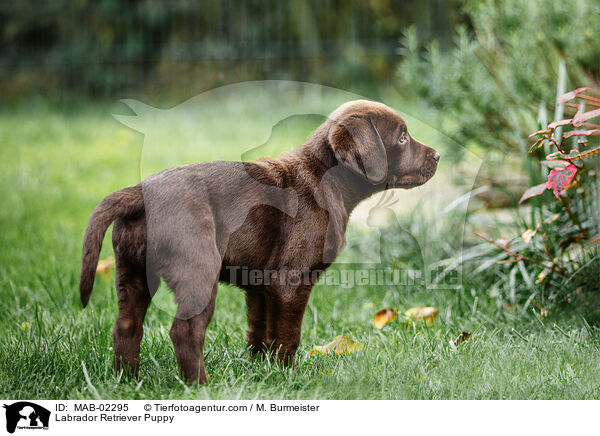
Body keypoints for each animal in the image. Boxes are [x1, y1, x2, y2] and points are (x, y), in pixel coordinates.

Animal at [79, 99, 438, 382]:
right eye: (402, 137)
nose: (437, 155)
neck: (325, 180)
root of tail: (140, 191)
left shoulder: (260, 285)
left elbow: (260, 332)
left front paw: (261, 372)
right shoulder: (291, 281)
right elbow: (288, 335)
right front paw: (288, 376)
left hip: (132, 271)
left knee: (126, 325)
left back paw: (127, 381)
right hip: (197, 271)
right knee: (185, 331)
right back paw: (200, 386)